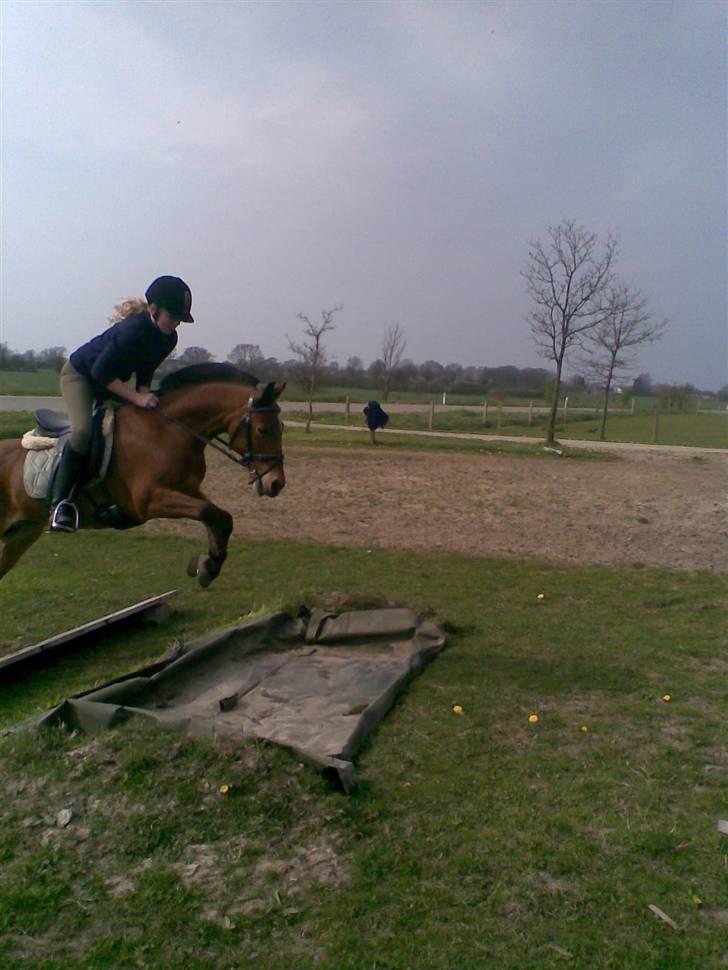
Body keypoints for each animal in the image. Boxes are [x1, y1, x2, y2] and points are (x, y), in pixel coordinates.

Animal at [0, 364, 286, 588]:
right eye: (263, 429)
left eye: (281, 427)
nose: (276, 483)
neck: (169, 430)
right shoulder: (148, 501)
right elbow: (209, 513)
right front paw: (207, 565)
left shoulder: (188, 489)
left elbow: (221, 517)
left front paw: (207, 565)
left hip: (21, 534)